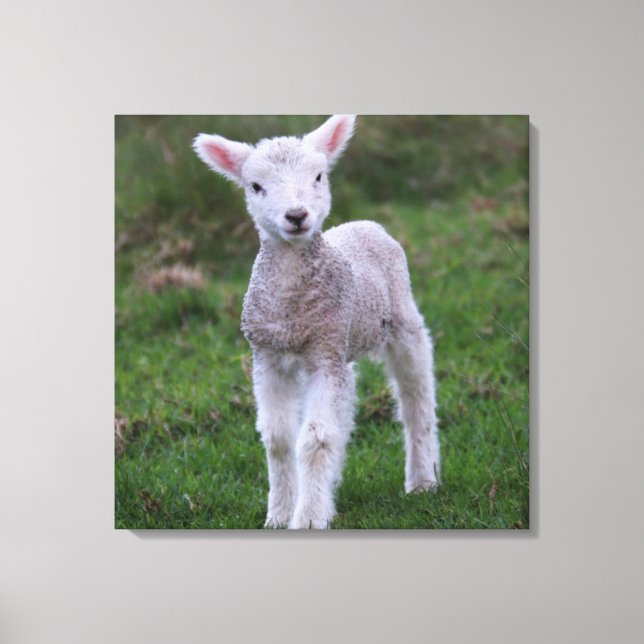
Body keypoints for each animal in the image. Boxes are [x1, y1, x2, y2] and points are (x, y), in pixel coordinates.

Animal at [193, 115, 440, 529]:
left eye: (319, 176)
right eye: (255, 186)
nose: (296, 215)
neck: (291, 309)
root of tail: (365, 224)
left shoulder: (323, 354)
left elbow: (315, 438)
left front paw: (307, 518)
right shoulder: (268, 357)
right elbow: (278, 439)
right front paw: (279, 514)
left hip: (401, 320)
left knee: (415, 395)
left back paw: (423, 480)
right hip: (342, 343)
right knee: (348, 403)